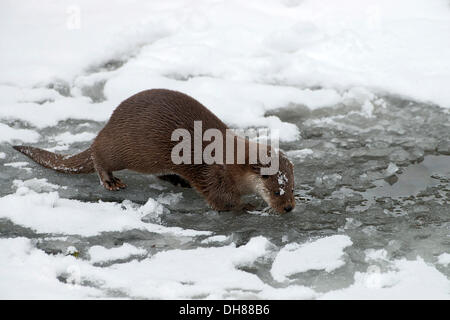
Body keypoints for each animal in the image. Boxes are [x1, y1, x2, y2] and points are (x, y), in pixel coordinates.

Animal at [12, 89, 296, 214]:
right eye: (276, 191)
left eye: (292, 188)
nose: (289, 207)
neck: (230, 162)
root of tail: (109, 123)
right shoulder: (214, 175)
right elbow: (221, 200)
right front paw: (246, 205)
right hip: (123, 148)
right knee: (97, 153)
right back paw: (111, 181)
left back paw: (177, 180)